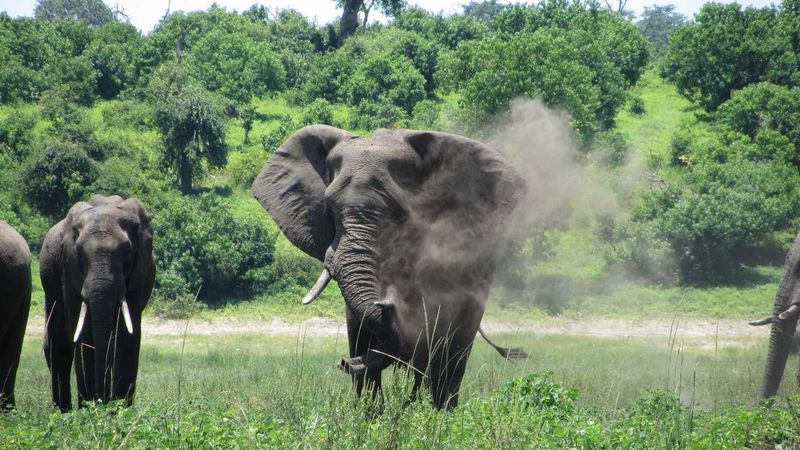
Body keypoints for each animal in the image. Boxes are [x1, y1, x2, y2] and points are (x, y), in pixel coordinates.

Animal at [40, 195, 154, 411]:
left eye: (127, 250)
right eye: (79, 253)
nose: (103, 402)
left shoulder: (139, 272)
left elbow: (127, 336)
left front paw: (119, 410)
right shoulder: (69, 271)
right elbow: (83, 334)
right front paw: (90, 410)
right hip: (49, 281)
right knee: (58, 345)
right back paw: (63, 412)